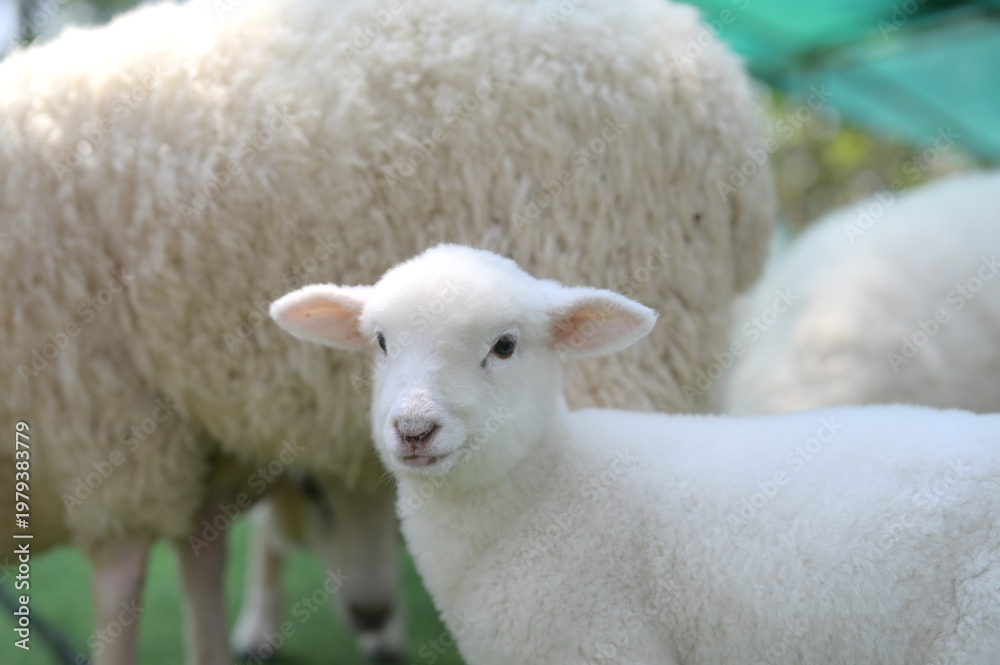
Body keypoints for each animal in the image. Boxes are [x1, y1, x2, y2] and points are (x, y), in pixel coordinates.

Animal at [0, 0, 773, 661]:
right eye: (377, 341)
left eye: (503, 345)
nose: (372, 614)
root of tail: (723, 89)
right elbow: (203, 557)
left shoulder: (101, 417)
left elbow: (123, 584)